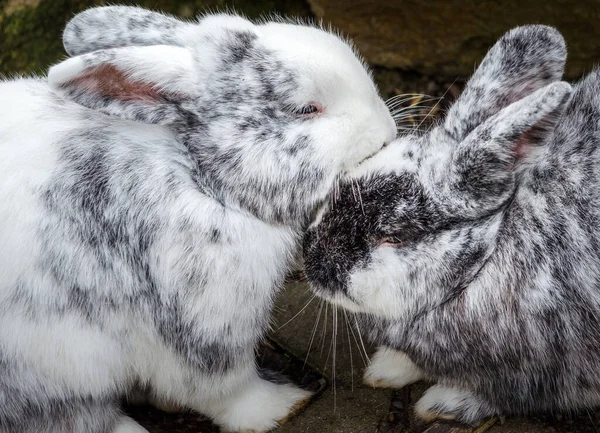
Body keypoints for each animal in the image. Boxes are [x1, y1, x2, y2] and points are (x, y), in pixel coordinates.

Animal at [0, 4, 398, 432]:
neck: (200, 177)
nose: (388, 132)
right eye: (305, 109)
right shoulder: (202, 326)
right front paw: (283, 405)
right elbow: (225, 389)